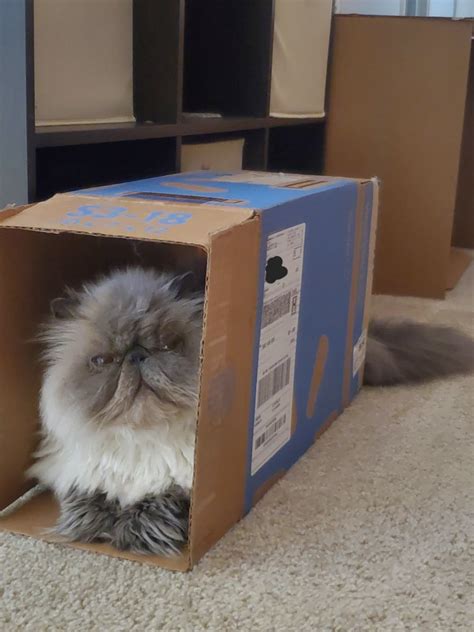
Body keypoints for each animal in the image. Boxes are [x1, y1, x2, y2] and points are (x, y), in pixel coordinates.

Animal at [29, 267, 204, 556]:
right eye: (103, 360)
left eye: (167, 346)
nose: (136, 355)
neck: (142, 439)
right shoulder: (80, 474)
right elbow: (88, 497)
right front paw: (92, 528)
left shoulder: (181, 486)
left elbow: (158, 502)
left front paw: (128, 535)